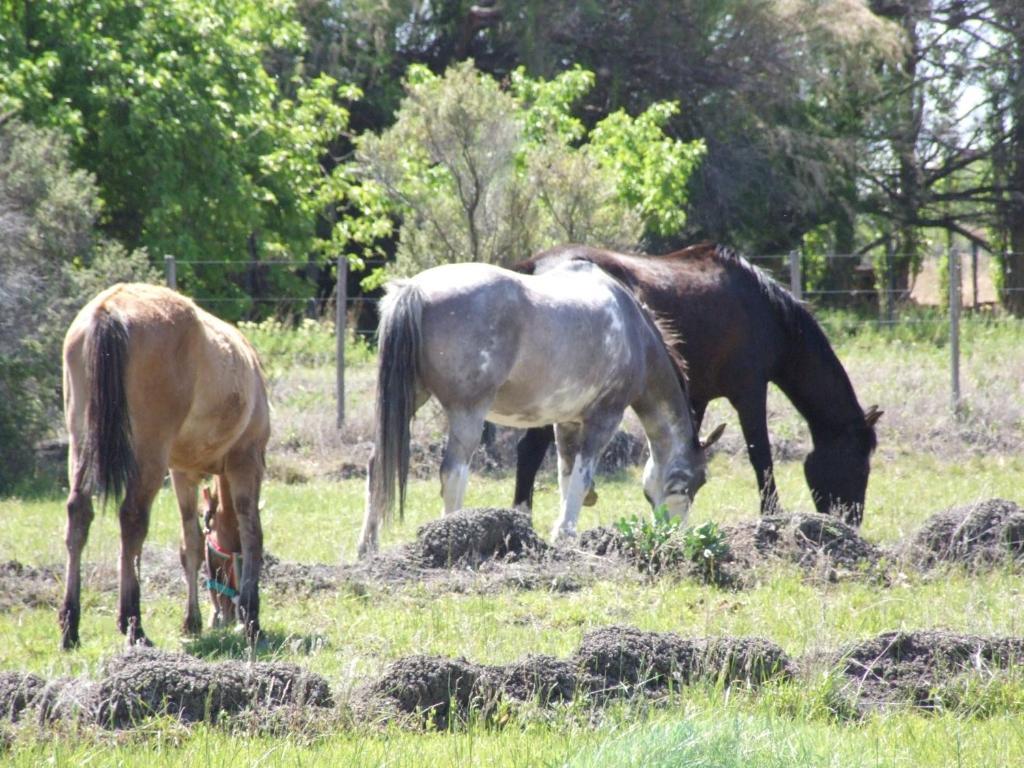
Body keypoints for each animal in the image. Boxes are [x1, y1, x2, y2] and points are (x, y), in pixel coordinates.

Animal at [59, 282, 268, 651]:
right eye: (221, 561)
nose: (224, 614)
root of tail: (110, 308)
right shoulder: (247, 460)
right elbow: (251, 534)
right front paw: (252, 619)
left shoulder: (182, 473)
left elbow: (191, 544)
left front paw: (192, 620)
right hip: (149, 453)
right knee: (132, 520)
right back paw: (133, 622)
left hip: (81, 444)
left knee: (79, 514)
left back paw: (71, 625)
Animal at [356, 262, 724, 557]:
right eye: (698, 481)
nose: (674, 536)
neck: (633, 330)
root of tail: (414, 289)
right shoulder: (603, 419)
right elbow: (581, 478)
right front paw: (566, 535)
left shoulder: (568, 424)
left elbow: (566, 476)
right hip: (467, 412)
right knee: (453, 473)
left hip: (410, 399)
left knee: (377, 464)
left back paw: (367, 547)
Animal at [516, 243, 884, 528]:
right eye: (858, 464)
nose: (851, 521)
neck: (766, 310)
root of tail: (535, 266)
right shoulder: (750, 393)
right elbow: (761, 456)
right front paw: (771, 515)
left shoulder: (698, 397)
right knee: (529, 451)